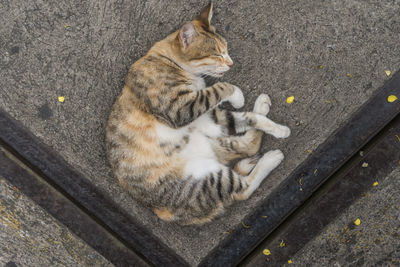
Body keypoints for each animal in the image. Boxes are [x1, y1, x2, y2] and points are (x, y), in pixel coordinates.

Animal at [104, 3, 290, 226]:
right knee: (242, 188)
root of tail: (162, 212)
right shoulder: (180, 109)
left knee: (246, 144)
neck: (165, 60)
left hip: (207, 137)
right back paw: (271, 159)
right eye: (217, 53)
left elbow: (246, 117)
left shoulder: (204, 113)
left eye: (226, 49)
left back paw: (261, 112)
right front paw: (237, 95)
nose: (231, 63)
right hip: (203, 181)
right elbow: (220, 87)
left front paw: (277, 128)